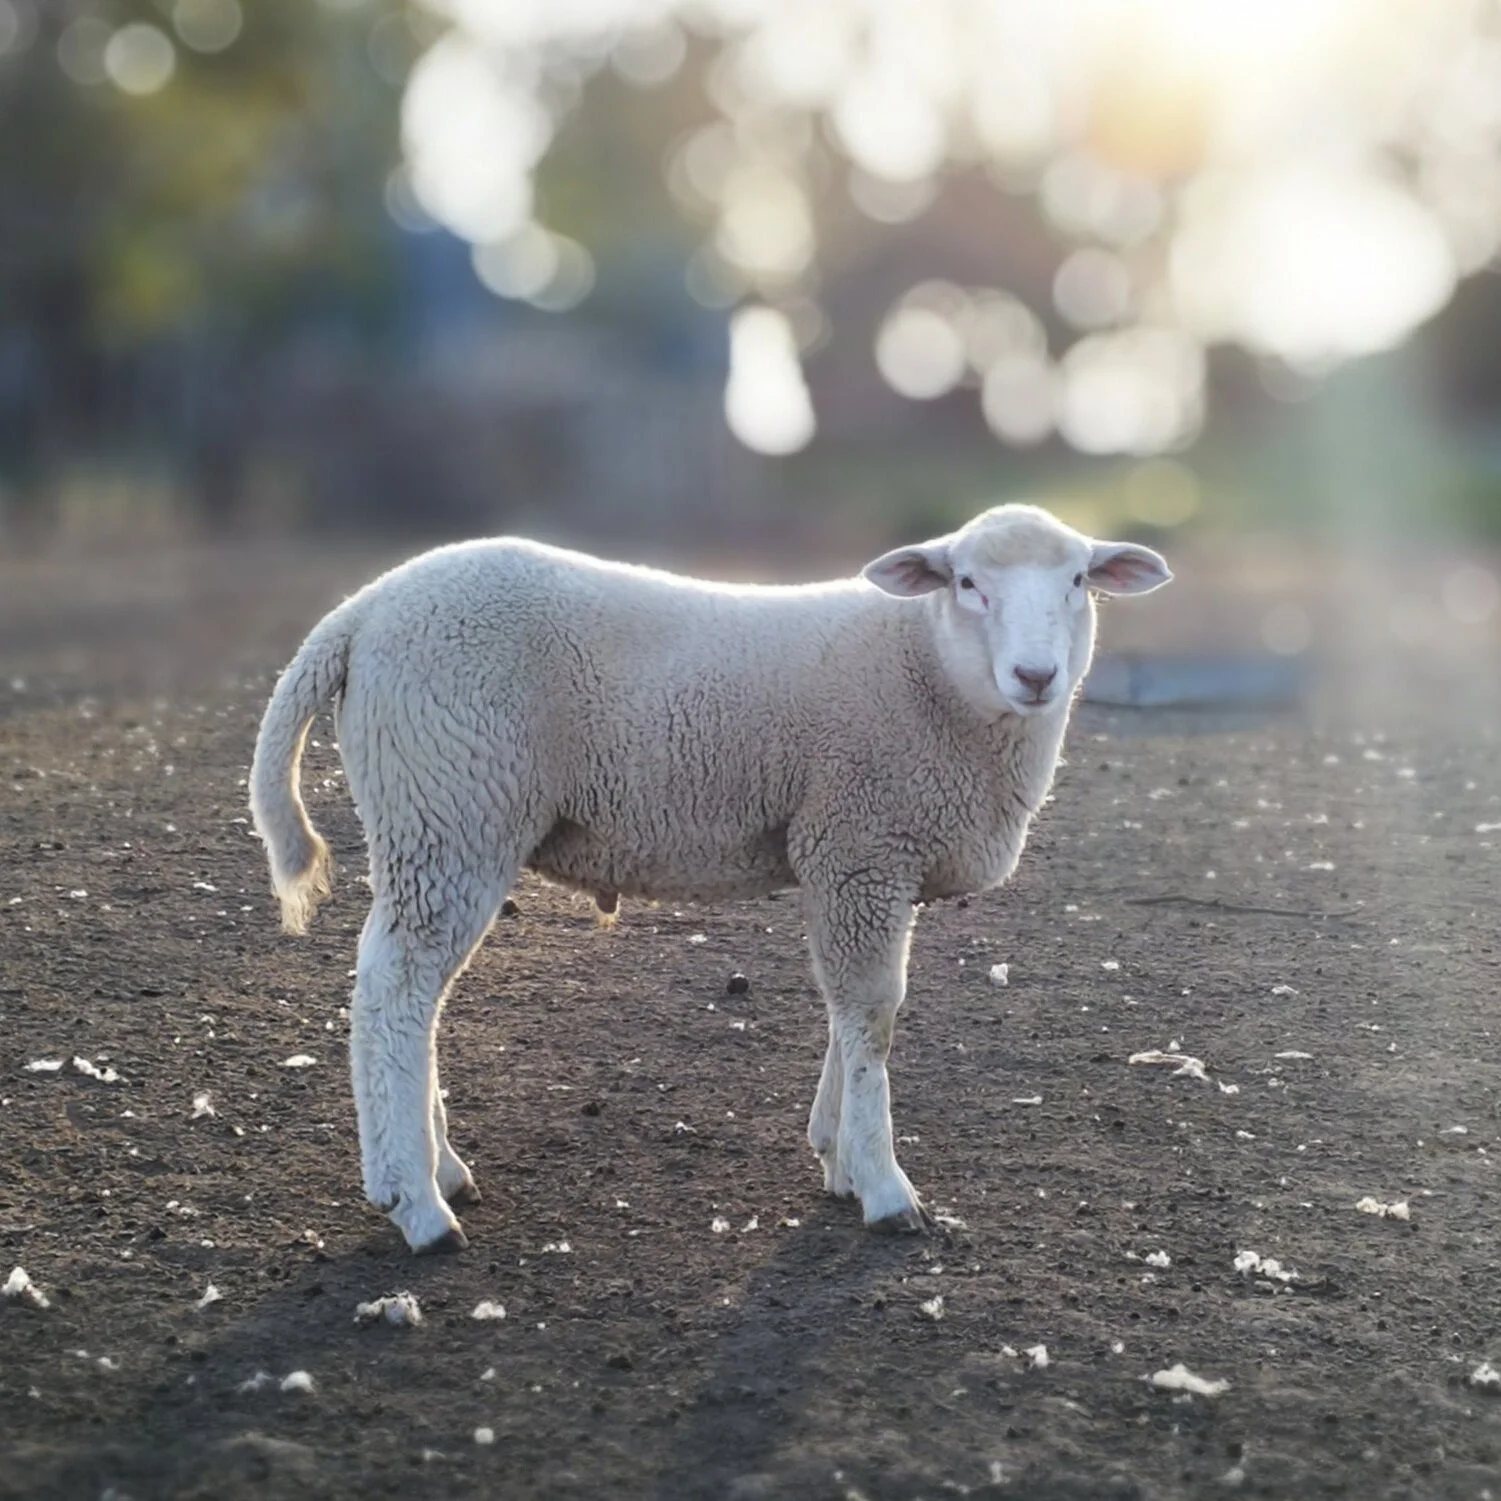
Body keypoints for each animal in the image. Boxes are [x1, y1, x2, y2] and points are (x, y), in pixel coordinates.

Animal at [250, 502, 1170, 1253]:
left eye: (1078, 580)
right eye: (969, 583)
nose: (1036, 676)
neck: (930, 670)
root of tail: (364, 610)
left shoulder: (848, 858)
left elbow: (848, 1011)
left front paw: (835, 1151)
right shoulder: (861, 842)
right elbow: (871, 1014)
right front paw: (881, 1185)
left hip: (439, 814)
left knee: (415, 997)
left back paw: (441, 1171)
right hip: (447, 804)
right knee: (394, 994)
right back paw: (414, 1203)